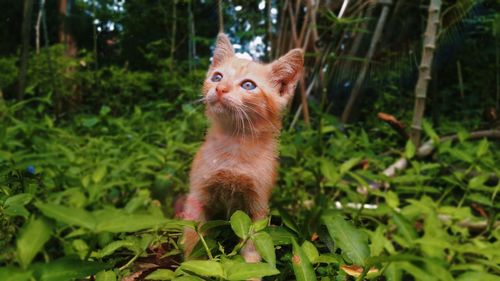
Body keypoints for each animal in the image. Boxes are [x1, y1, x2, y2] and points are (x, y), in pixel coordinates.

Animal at [182, 33, 302, 262]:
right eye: (217, 77)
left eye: (248, 85)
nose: (220, 88)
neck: (235, 146)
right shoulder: (197, 197)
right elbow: (194, 237)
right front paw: (190, 266)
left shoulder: (258, 207)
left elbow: (253, 244)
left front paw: (251, 267)